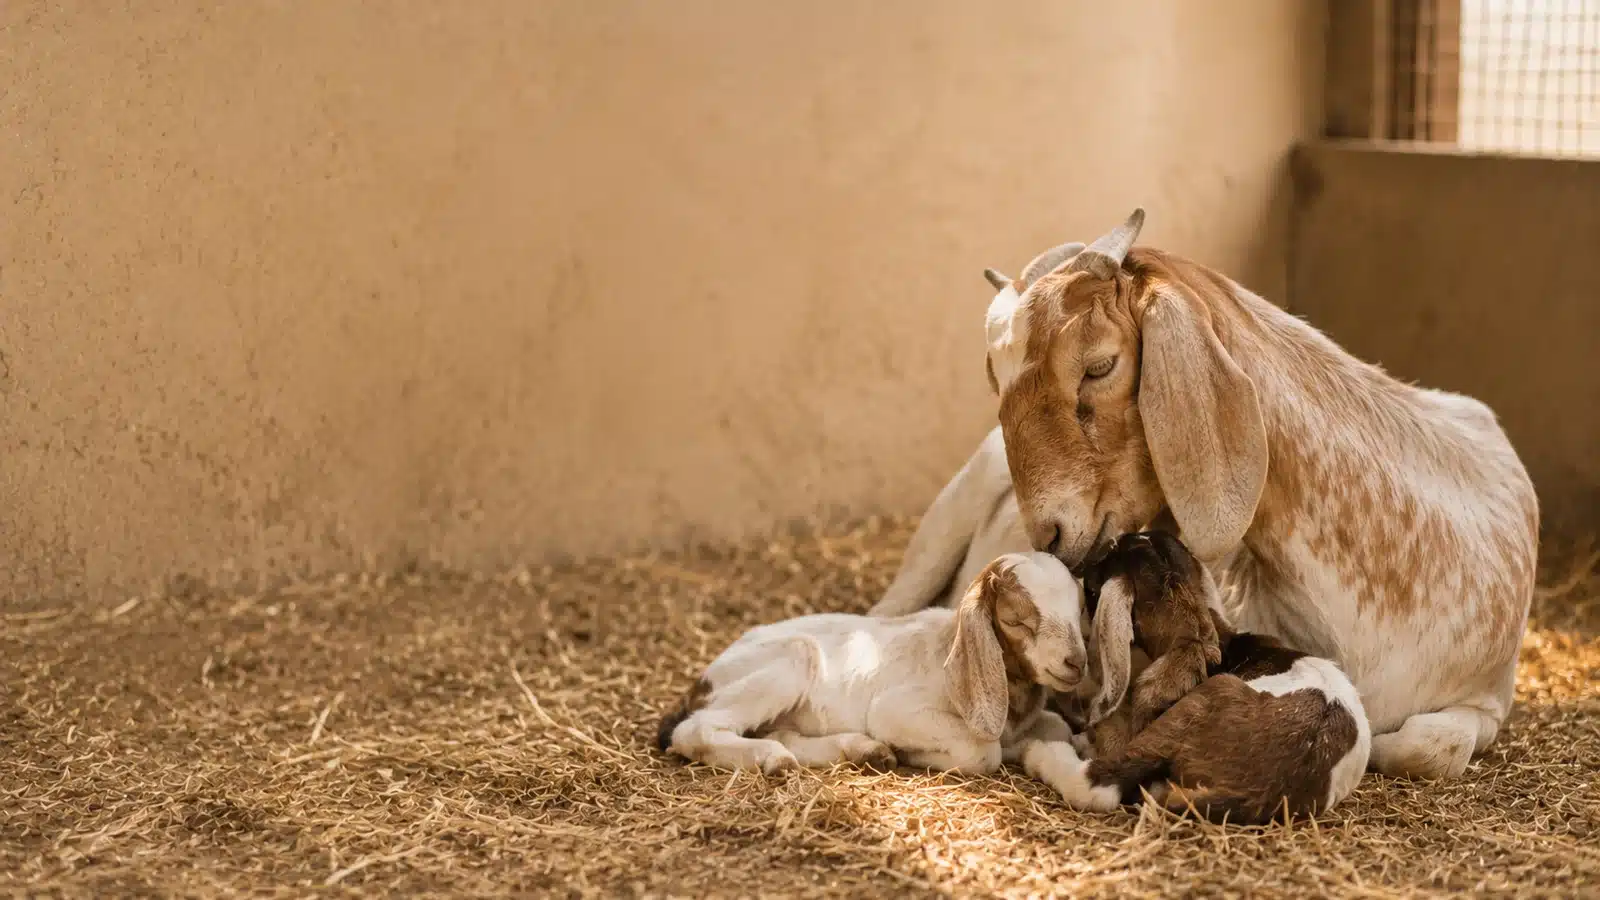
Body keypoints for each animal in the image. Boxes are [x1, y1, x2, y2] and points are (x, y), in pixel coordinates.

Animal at [658, 553, 1086, 775]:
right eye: (1016, 620)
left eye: (1080, 608)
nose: (1076, 662)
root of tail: (701, 682)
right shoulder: (894, 710)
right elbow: (985, 751)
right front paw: (914, 754)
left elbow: (1059, 728)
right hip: (791, 659)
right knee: (693, 731)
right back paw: (770, 758)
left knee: (782, 733)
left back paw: (861, 750)